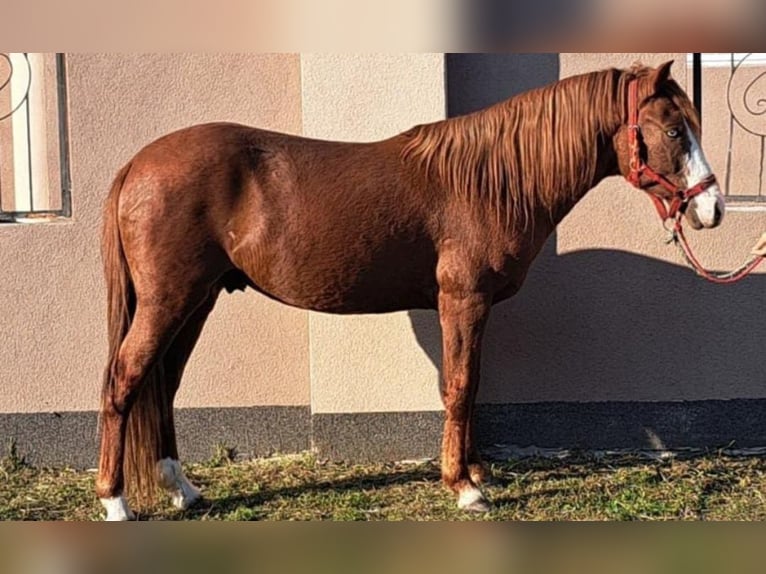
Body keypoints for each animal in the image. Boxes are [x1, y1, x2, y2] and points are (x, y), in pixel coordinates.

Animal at [96, 60, 728, 520]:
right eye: (675, 129)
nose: (713, 209)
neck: (491, 180)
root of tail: (136, 165)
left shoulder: (474, 308)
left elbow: (469, 387)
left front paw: (475, 473)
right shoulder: (462, 301)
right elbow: (460, 385)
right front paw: (464, 488)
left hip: (197, 300)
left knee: (163, 383)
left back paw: (183, 489)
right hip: (169, 300)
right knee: (125, 380)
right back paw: (115, 501)